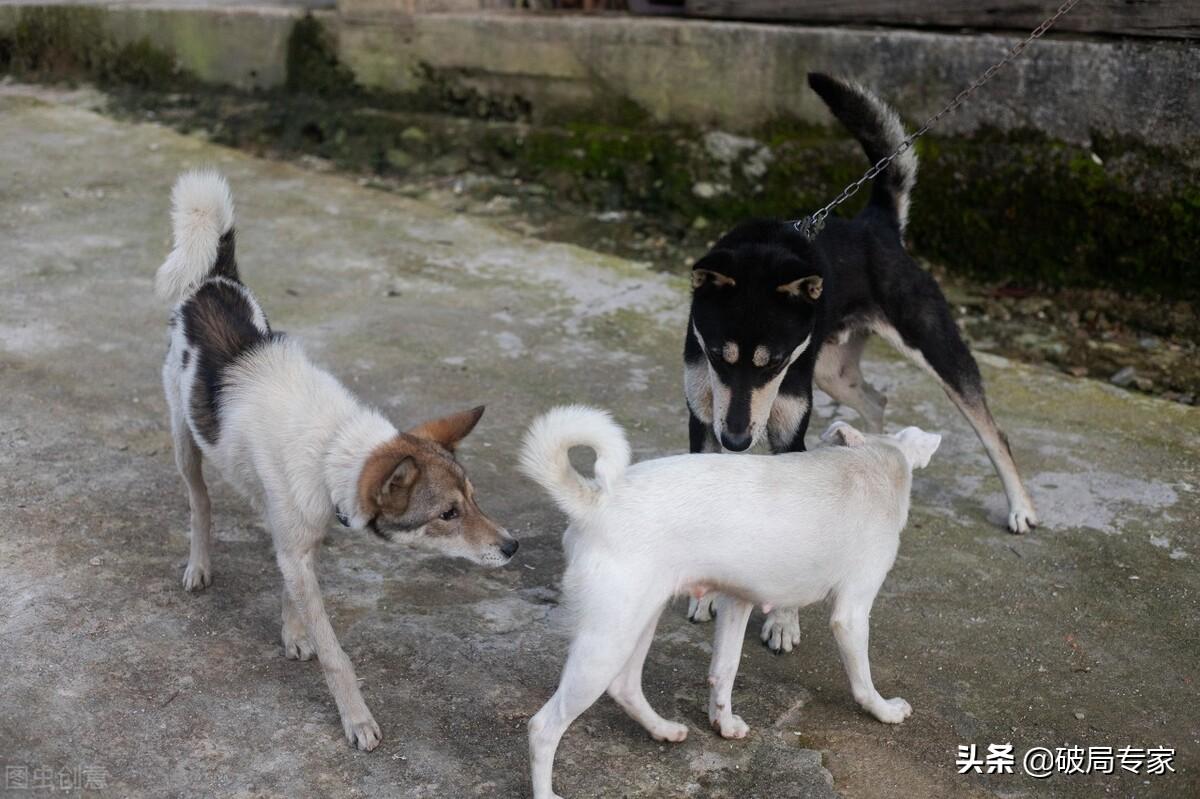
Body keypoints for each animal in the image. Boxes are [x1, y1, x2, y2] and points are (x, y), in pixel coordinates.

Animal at [520, 407, 940, 791]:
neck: (873, 460)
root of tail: (594, 502)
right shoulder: (851, 614)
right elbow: (863, 682)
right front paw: (885, 711)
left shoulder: (736, 602)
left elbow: (724, 669)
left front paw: (722, 724)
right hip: (607, 640)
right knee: (543, 727)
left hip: (638, 621)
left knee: (624, 686)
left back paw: (663, 729)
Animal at [686, 71, 1041, 647]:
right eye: (718, 356)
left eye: (775, 362)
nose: (737, 440)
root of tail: (875, 223)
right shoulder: (705, 416)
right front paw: (706, 597)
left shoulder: (786, 422)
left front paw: (782, 620)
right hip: (831, 372)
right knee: (875, 399)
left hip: (930, 344)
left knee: (992, 430)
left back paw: (1020, 507)